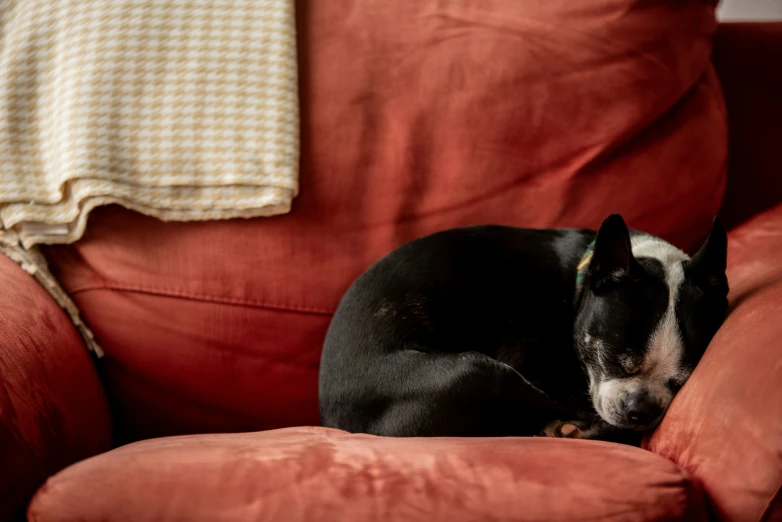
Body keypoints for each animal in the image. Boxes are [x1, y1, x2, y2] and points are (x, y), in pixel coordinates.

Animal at [316, 213, 728, 440]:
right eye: (611, 358)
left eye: (681, 380)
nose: (639, 410)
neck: (578, 285)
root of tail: (335, 418)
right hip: (476, 371)